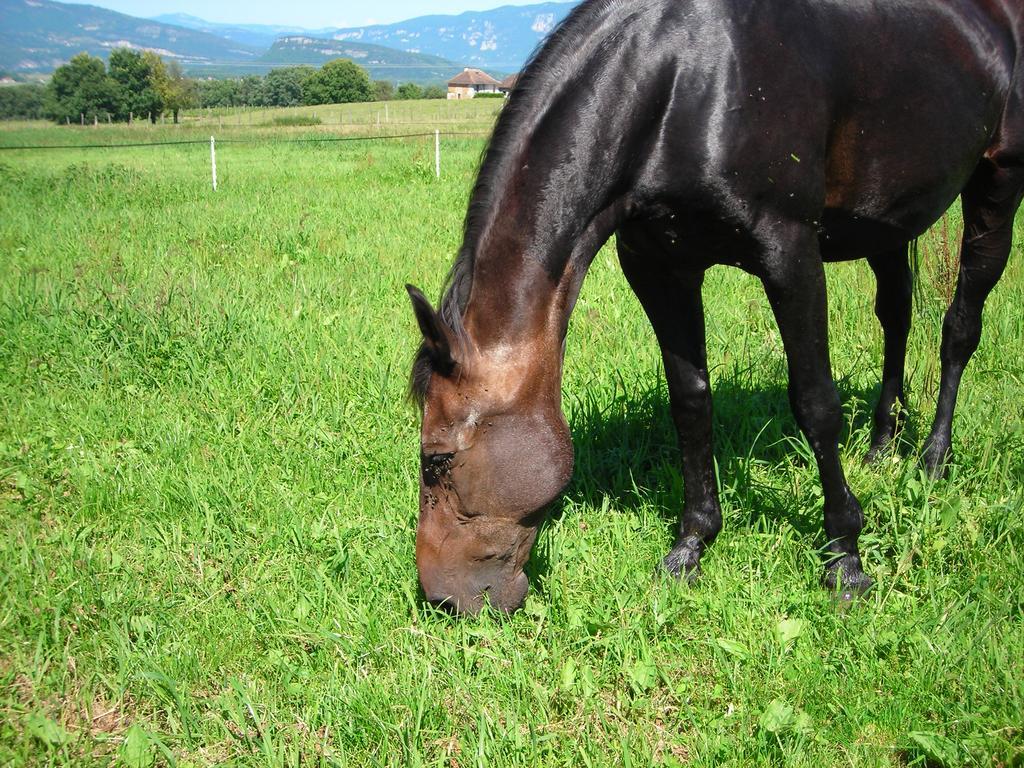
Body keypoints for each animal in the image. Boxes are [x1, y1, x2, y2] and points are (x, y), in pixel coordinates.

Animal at [403, 0, 1019, 614]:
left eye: (437, 461)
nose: (441, 599)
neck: (680, 83)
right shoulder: (658, 267)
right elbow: (691, 402)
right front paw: (691, 544)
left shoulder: (790, 254)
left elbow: (816, 402)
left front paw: (845, 557)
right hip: (885, 221)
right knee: (897, 315)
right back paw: (881, 446)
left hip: (997, 183)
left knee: (960, 328)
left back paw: (933, 459)